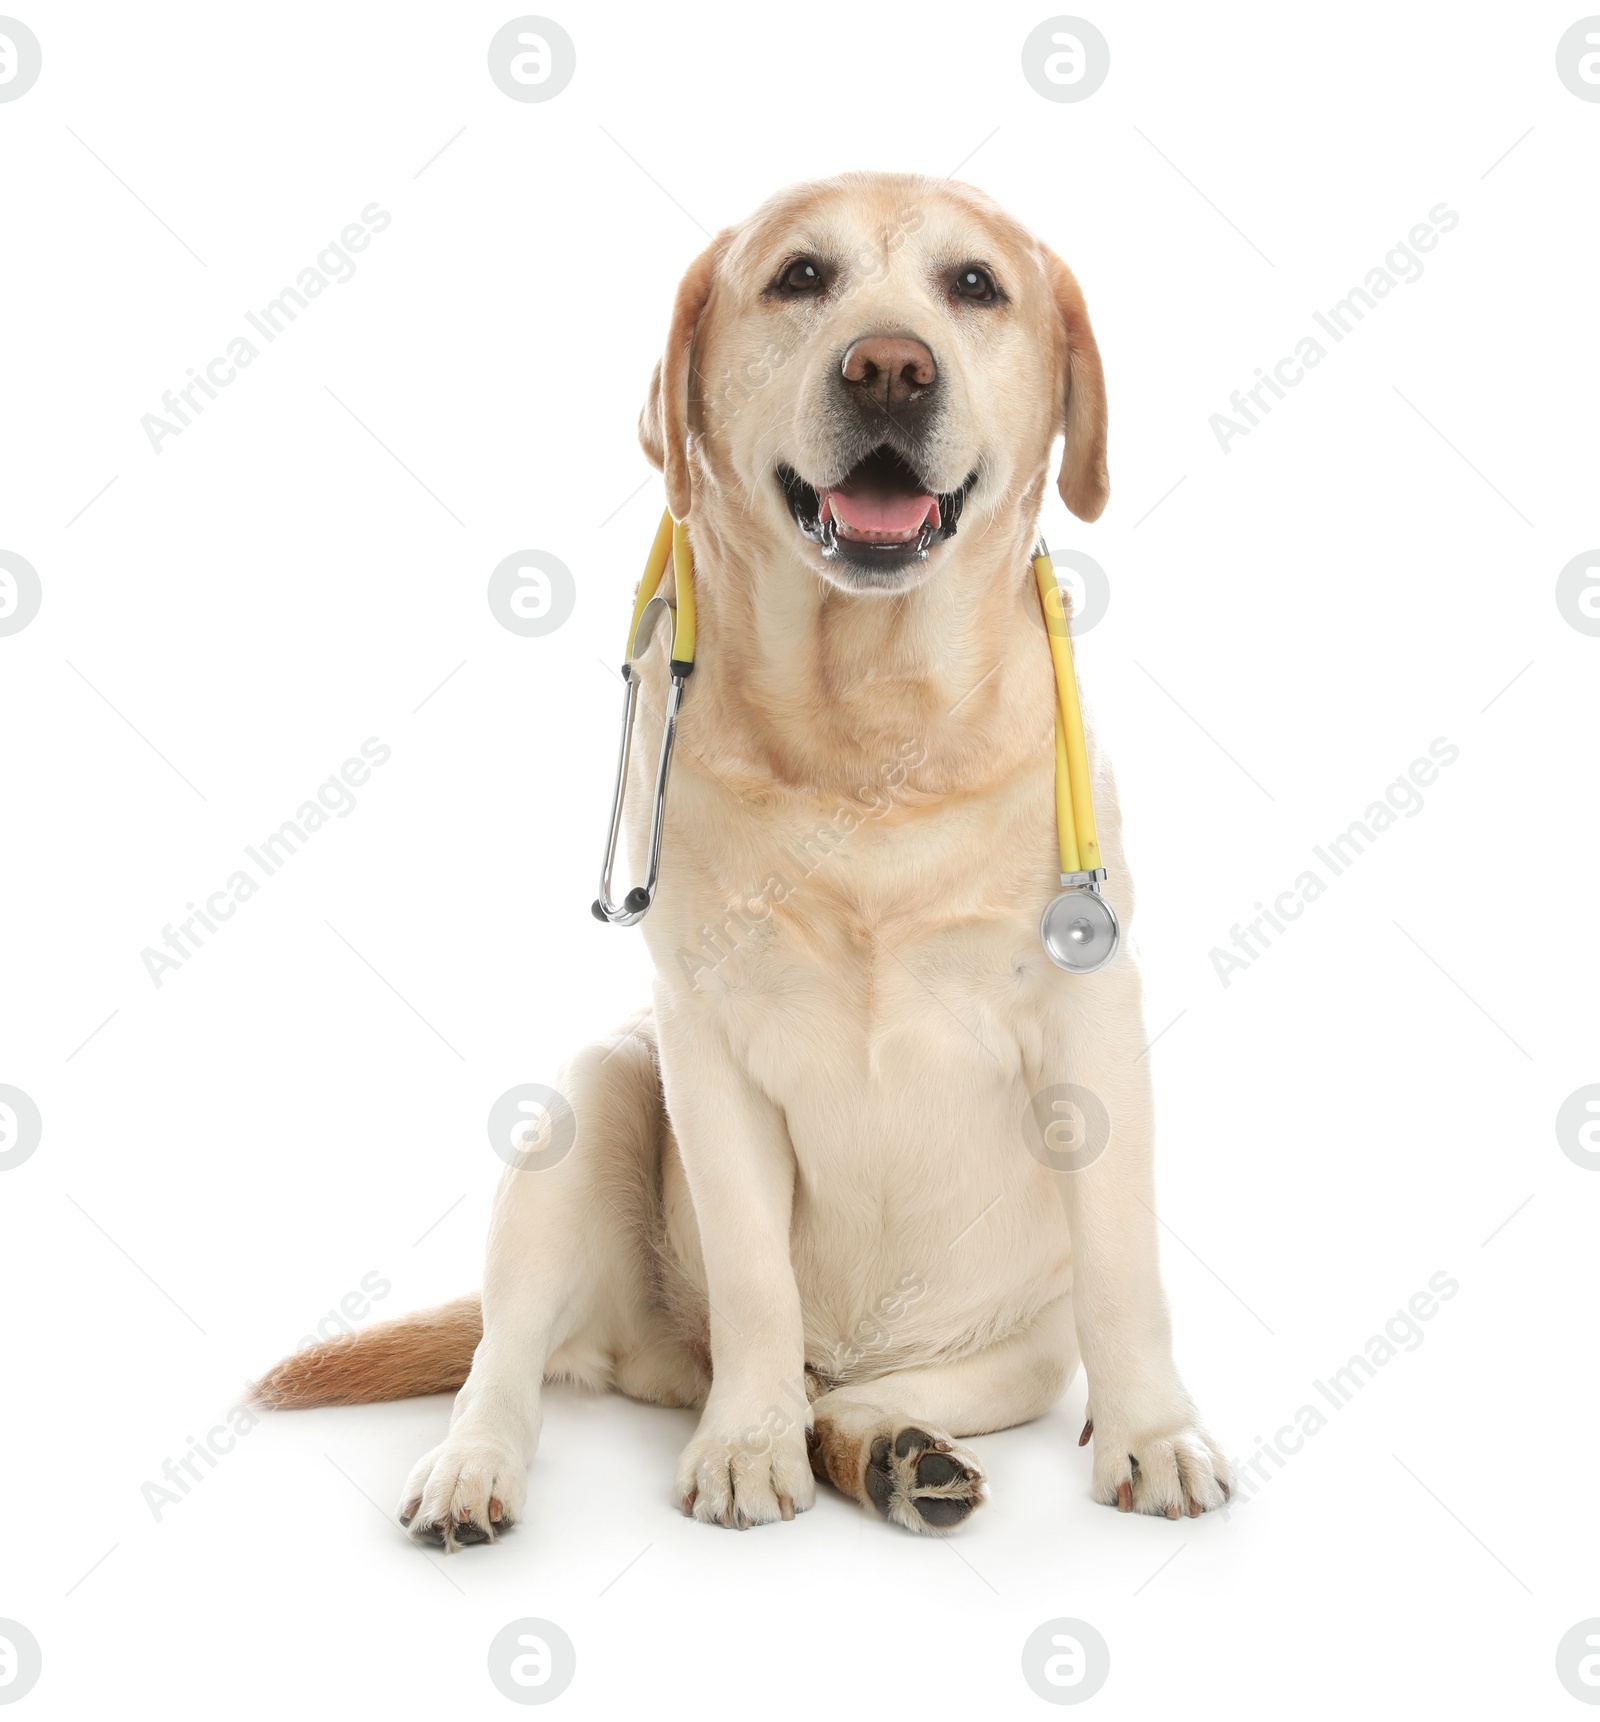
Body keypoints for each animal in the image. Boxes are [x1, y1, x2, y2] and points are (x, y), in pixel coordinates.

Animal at [256, 171, 1233, 1549]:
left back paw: (894, 1453)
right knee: (510, 1353)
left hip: (1014, 1353)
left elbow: (1124, 1265)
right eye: (800, 277)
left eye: (974, 285)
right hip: (593, 1096)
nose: (890, 369)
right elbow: (755, 1272)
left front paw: (1150, 1433)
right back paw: (482, 1468)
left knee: (882, 1391)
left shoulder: (1091, 1020)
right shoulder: (702, 1041)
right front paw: (744, 1445)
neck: (863, 720)